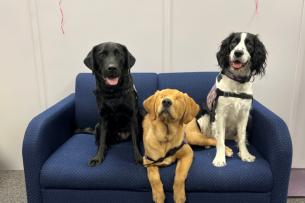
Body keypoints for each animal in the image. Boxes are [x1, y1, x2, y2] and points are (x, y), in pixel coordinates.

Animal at [196, 33, 264, 167]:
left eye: (249, 44)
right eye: (233, 42)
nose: (238, 53)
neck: (237, 81)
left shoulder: (244, 114)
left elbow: (242, 137)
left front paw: (245, 155)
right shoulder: (220, 114)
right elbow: (220, 141)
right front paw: (219, 158)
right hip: (204, 119)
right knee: (211, 137)